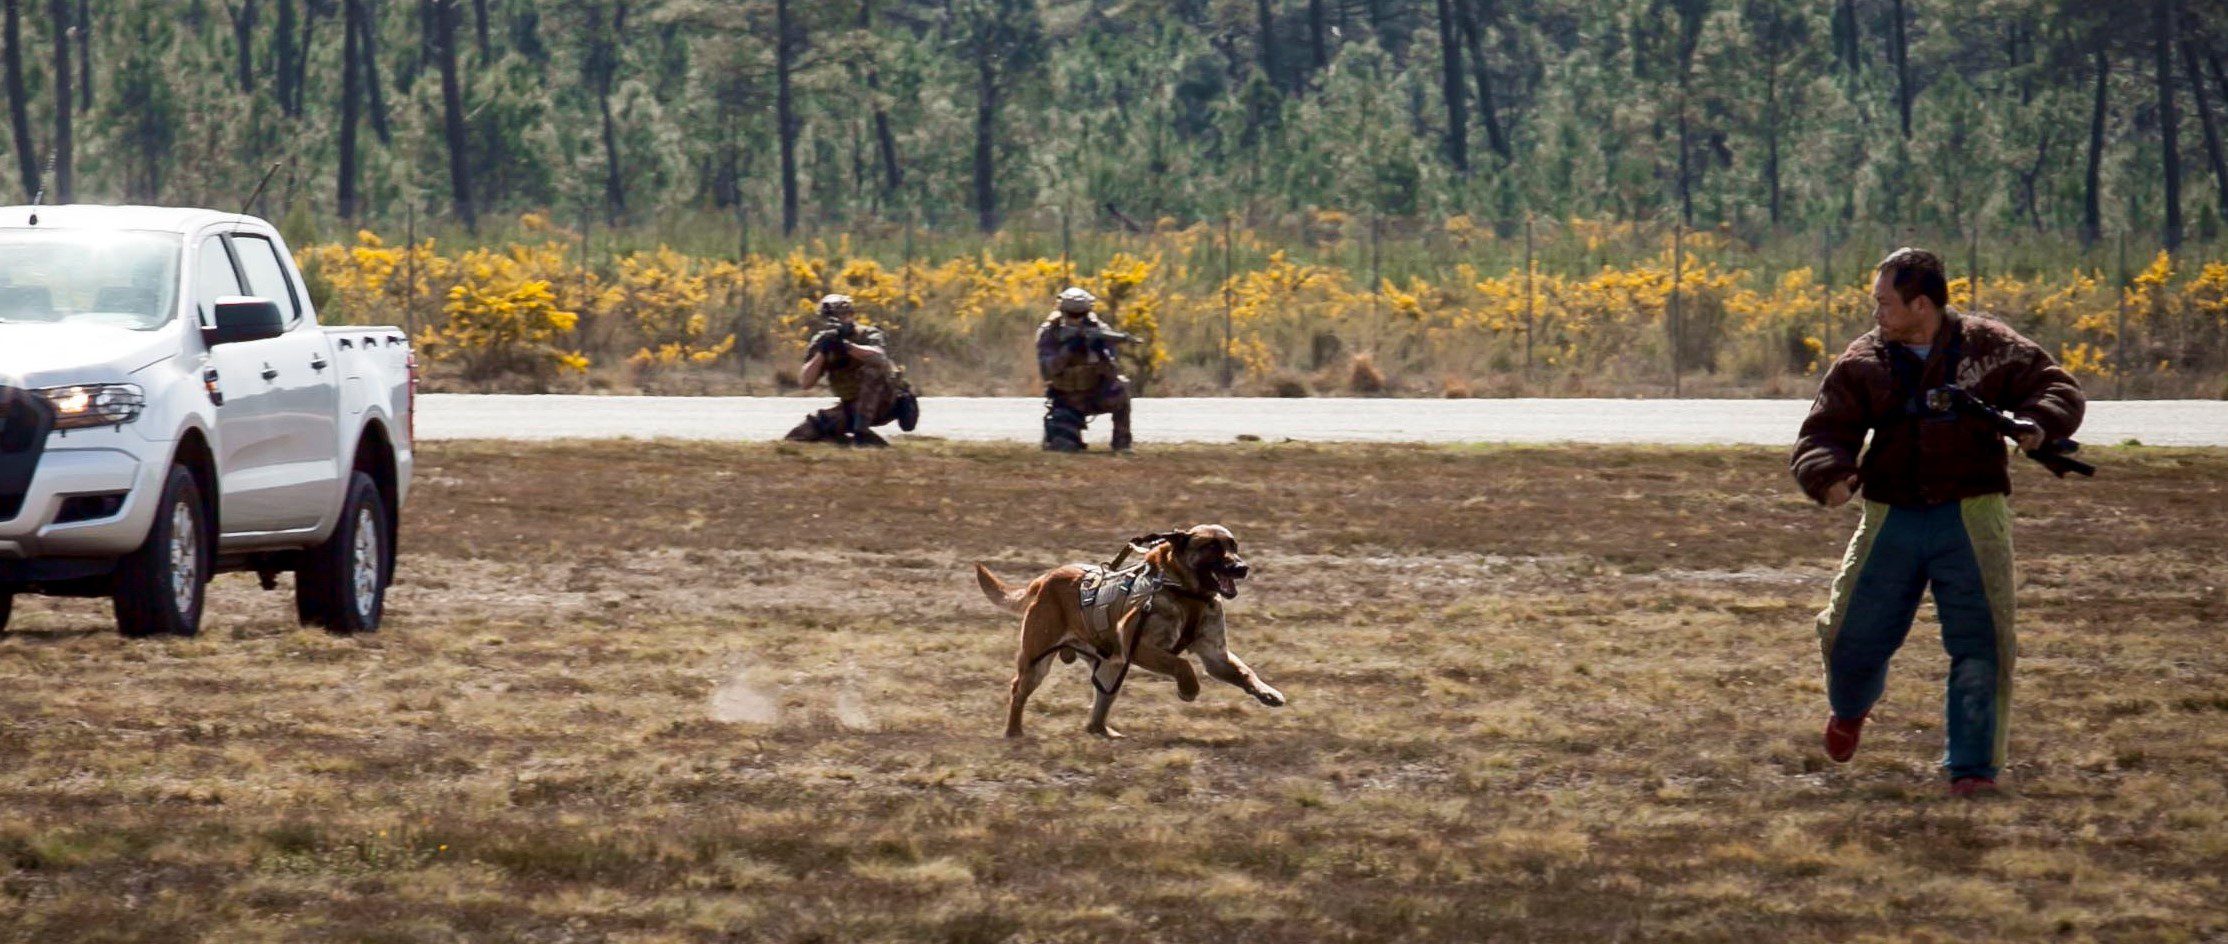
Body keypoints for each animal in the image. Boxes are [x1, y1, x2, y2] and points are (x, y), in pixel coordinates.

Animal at [975, 523, 1292, 739]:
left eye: (1233, 545)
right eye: (1212, 547)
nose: (1242, 568)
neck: (1188, 593)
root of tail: (1045, 579)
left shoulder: (1216, 656)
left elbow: (1245, 671)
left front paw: (1266, 692)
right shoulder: (1138, 646)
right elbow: (1182, 663)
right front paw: (1188, 690)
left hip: (1110, 670)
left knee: (1096, 713)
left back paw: (1105, 733)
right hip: (1036, 661)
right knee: (1018, 689)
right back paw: (1014, 731)